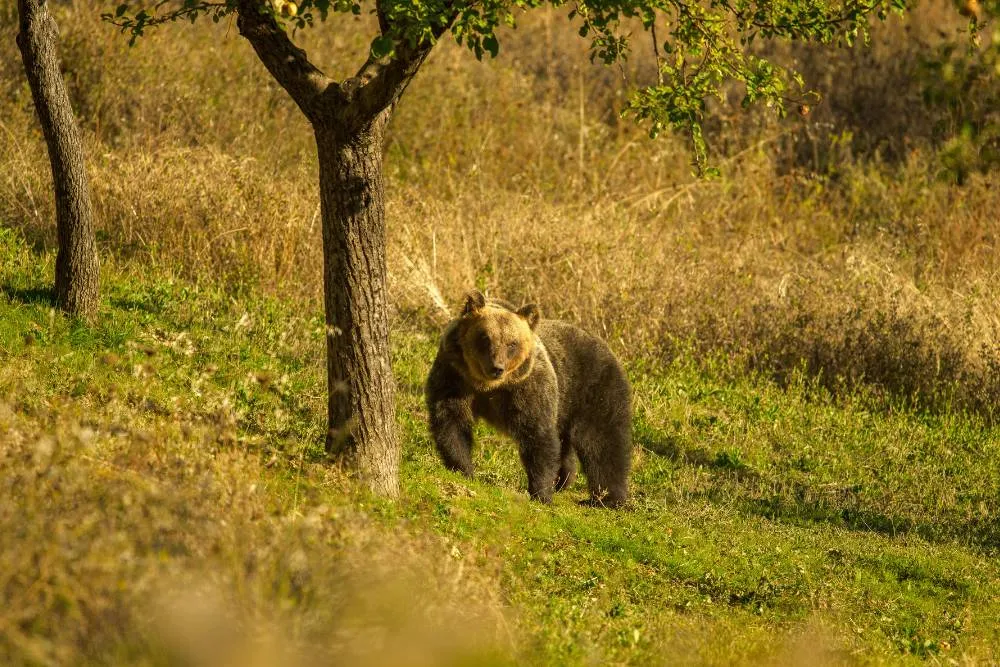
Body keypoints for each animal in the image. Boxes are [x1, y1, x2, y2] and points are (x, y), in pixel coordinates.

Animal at [425, 290, 633, 506]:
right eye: (485, 338)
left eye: (512, 343)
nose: (497, 368)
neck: (487, 386)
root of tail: (605, 345)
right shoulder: (455, 376)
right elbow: (452, 422)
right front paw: (463, 469)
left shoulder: (528, 388)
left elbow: (538, 436)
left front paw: (541, 493)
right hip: (564, 405)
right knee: (568, 444)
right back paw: (563, 482)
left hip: (592, 388)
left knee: (602, 441)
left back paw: (606, 498)